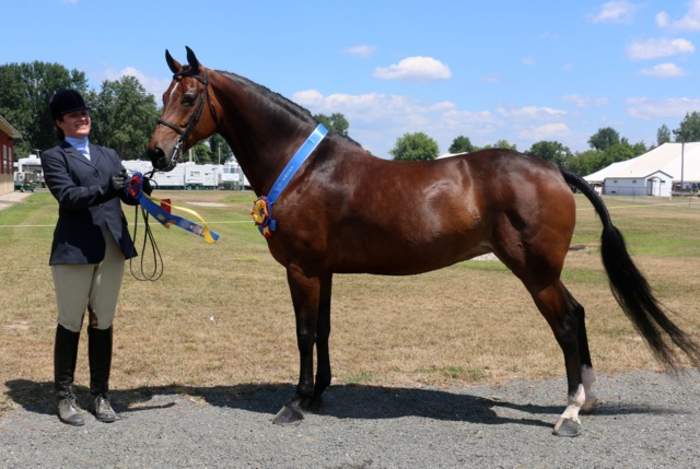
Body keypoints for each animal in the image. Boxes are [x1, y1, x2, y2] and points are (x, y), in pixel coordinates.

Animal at [146, 47, 700, 436]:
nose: (155, 153)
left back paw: (569, 412)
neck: (305, 167)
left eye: (189, 97)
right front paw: (320, 394)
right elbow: (323, 331)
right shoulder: (323, 270)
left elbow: (303, 334)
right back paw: (585, 401)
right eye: (162, 96)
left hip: (536, 271)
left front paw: (296, 402)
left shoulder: (301, 269)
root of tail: (554, 169)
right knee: (577, 316)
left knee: (566, 321)